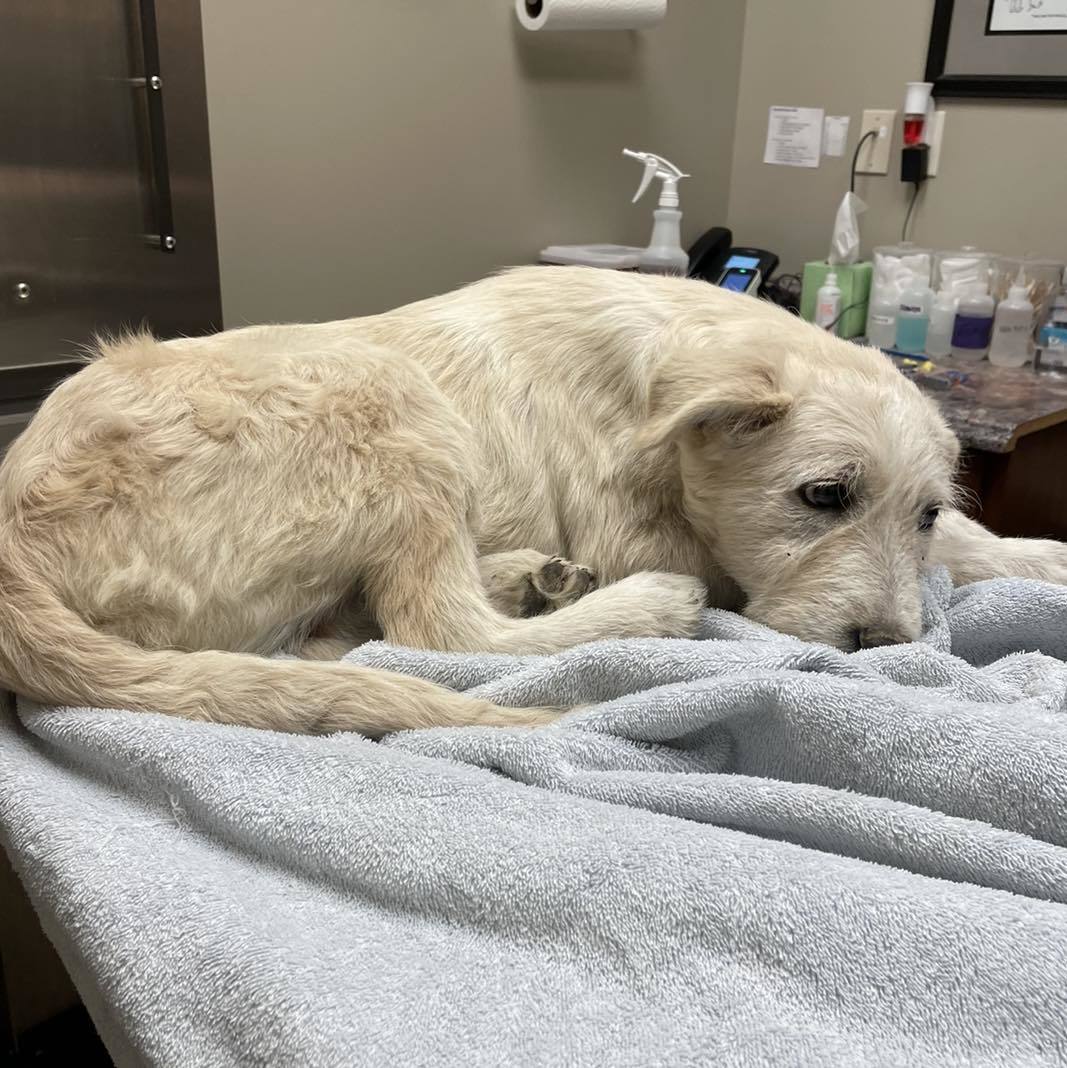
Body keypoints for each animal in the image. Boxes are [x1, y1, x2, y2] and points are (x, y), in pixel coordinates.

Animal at [0, 269, 1063, 734]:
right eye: (822, 494)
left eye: (921, 511)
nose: (885, 646)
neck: (657, 381)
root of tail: (15, 545)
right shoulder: (645, 531)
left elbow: (972, 545)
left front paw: (1035, 557)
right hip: (386, 397)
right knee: (435, 630)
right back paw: (627, 608)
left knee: (342, 637)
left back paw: (528, 575)